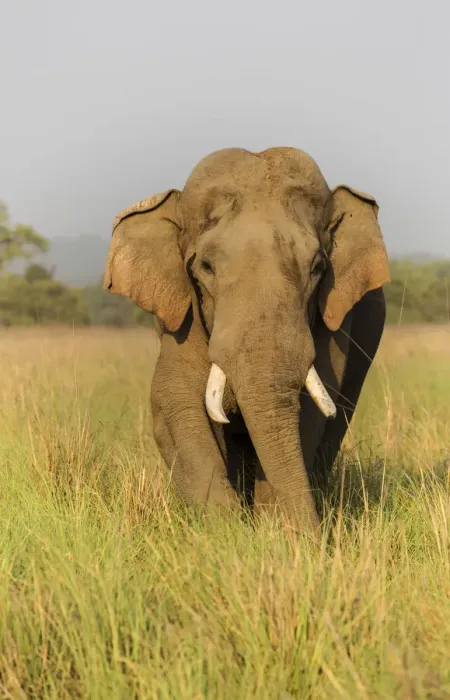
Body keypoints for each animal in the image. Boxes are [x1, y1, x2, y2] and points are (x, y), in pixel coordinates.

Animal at [103, 147, 390, 537]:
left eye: (318, 267)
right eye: (205, 267)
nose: (319, 540)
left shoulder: (334, 318)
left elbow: (310, 414)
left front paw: (271, 531)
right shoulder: (182, 316)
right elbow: (175, 402)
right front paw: (228, 535)